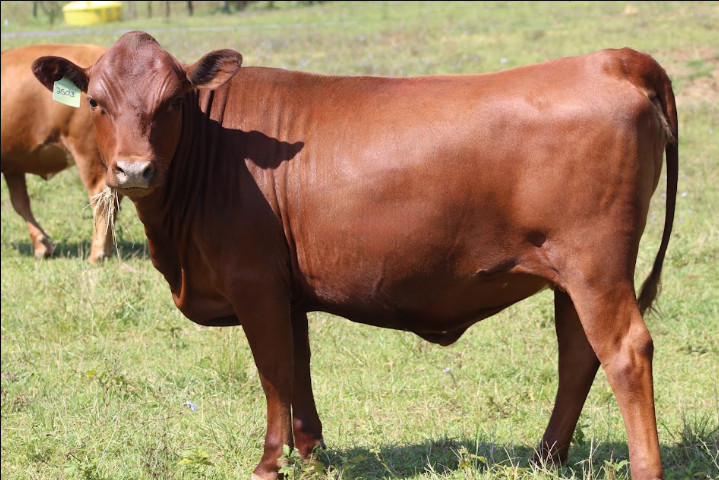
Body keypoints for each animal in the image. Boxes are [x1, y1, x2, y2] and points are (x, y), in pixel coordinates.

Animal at [1, 43, 119, 262]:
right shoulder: (13, 164)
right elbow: (20, 203)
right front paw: (41, 244)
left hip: (88, 154)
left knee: (100, 198)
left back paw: (97, 253)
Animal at [32, 31, 677, 480]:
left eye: (172, 101)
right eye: (96, 101)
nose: (134, 170)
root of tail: (610, 58)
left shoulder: (254, 283)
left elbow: (273, 372)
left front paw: (269, 463)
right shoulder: (286, 291)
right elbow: (298, 369)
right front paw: (313, 454)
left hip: (596, 268)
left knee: (625, 352)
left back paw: (641, 467)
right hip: (570, 275)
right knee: (578, 355)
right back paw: (545, 456)